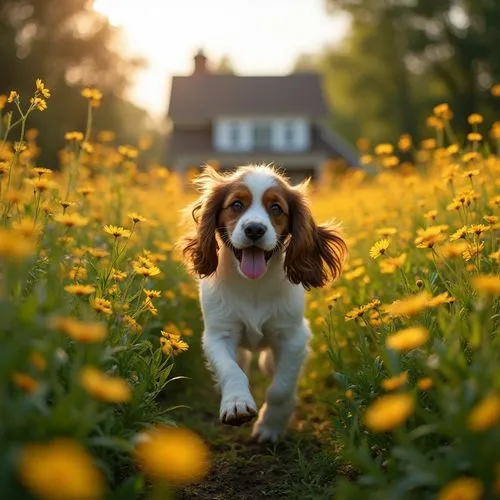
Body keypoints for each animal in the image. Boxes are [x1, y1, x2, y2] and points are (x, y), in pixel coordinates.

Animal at [182, 164, 346, 442]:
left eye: (276, 208)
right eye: (236, 204)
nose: (255, 230)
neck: (253, 286)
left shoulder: (293, 337)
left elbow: (280, 388)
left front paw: (270, 428)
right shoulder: (218, 335)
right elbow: (231, 370)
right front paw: (236, 404)